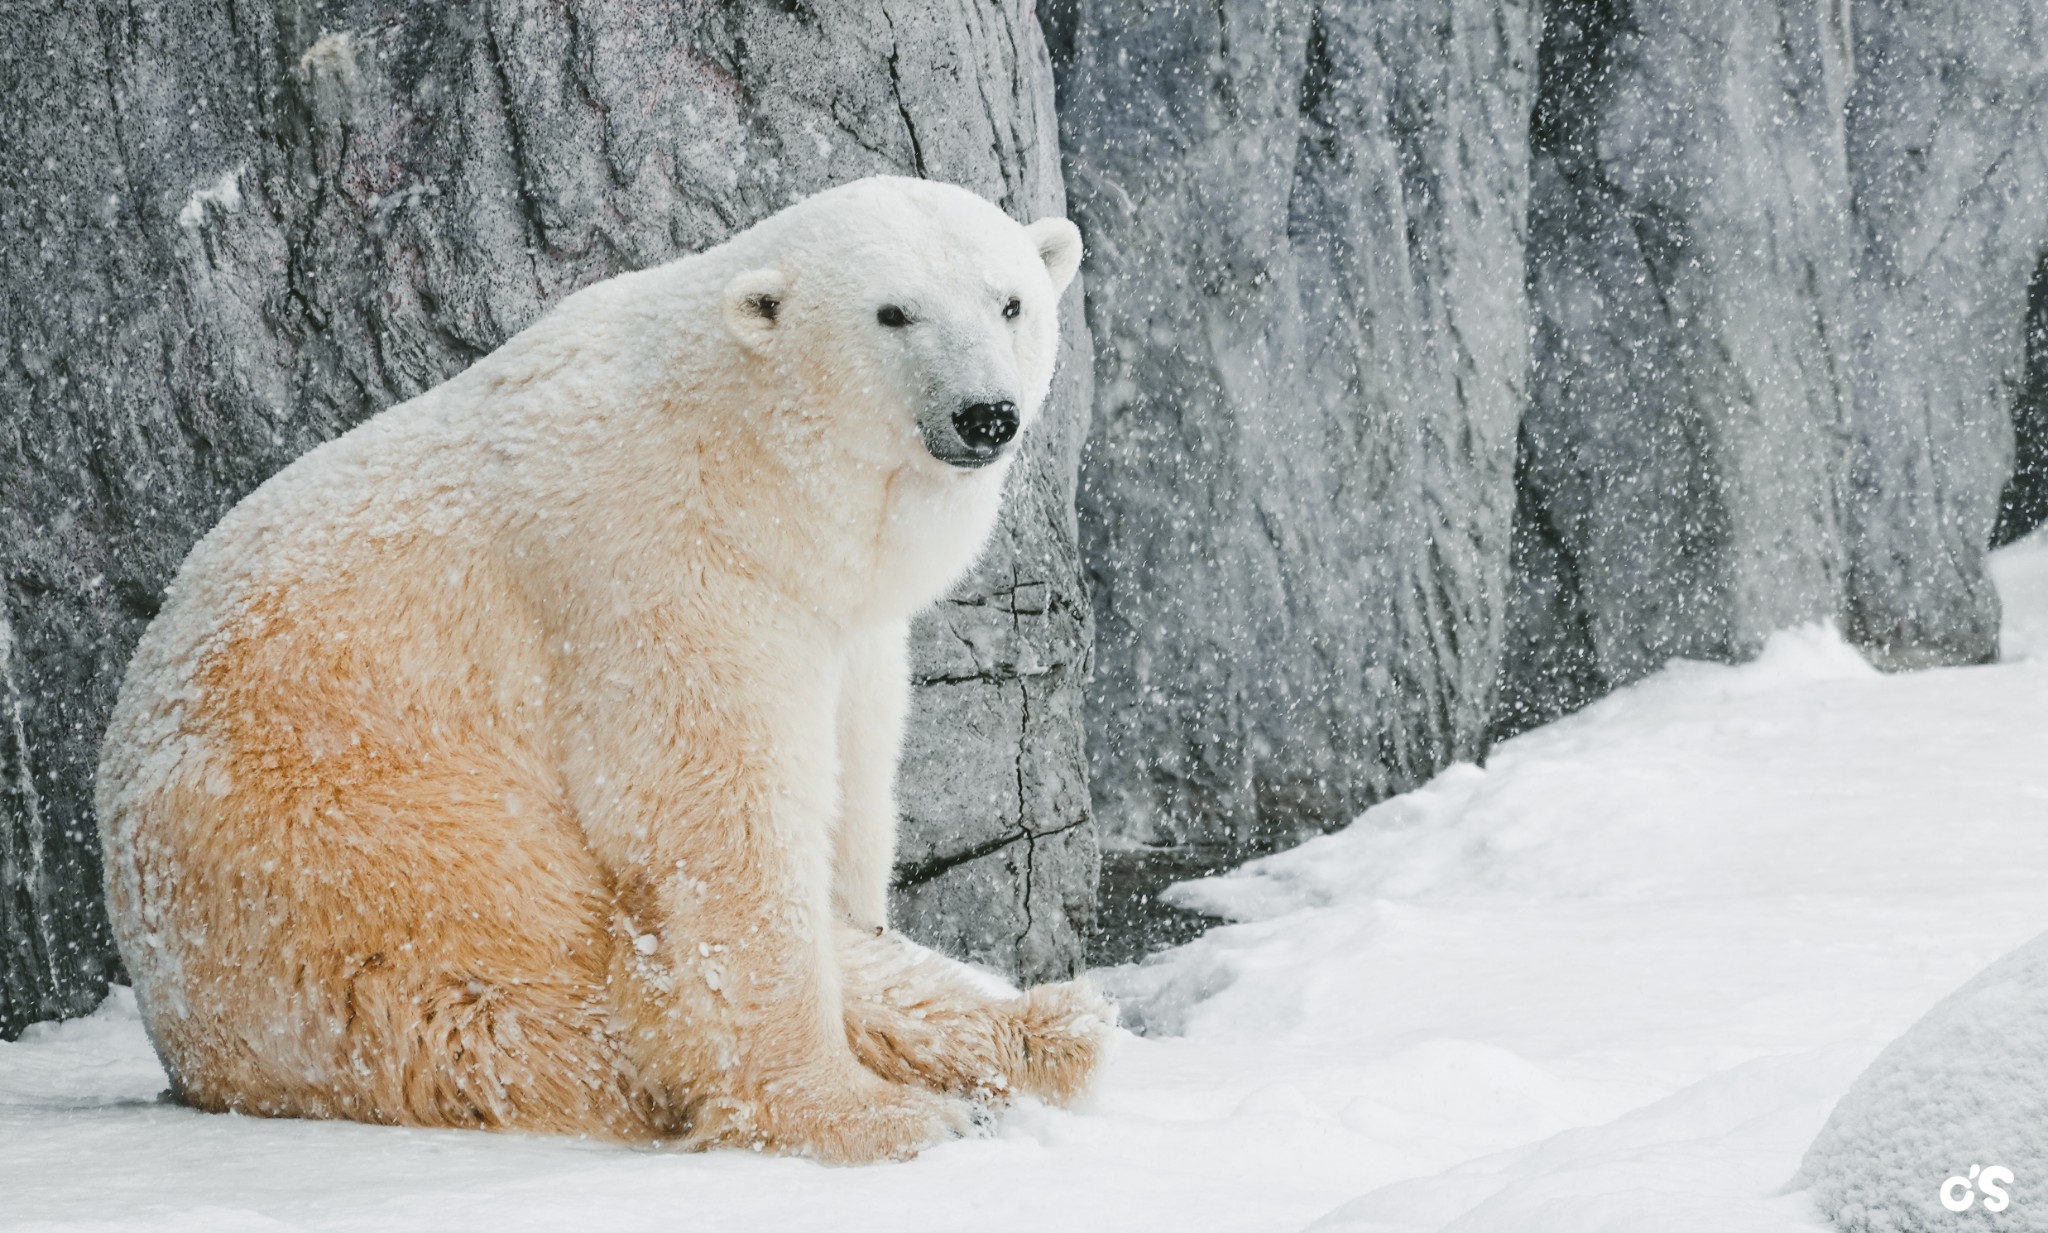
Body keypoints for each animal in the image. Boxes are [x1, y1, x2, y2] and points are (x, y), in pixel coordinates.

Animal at [96, 175, 1114, 1163]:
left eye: (1011, 301)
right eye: (892, 313)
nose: (985, 414)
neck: (746, 465)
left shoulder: (838, 626)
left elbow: (853, 797)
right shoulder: (656, 575)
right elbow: (719, 828)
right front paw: (861, 1113)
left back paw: (1050, 1029)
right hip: (374, 861)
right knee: (565, 992)